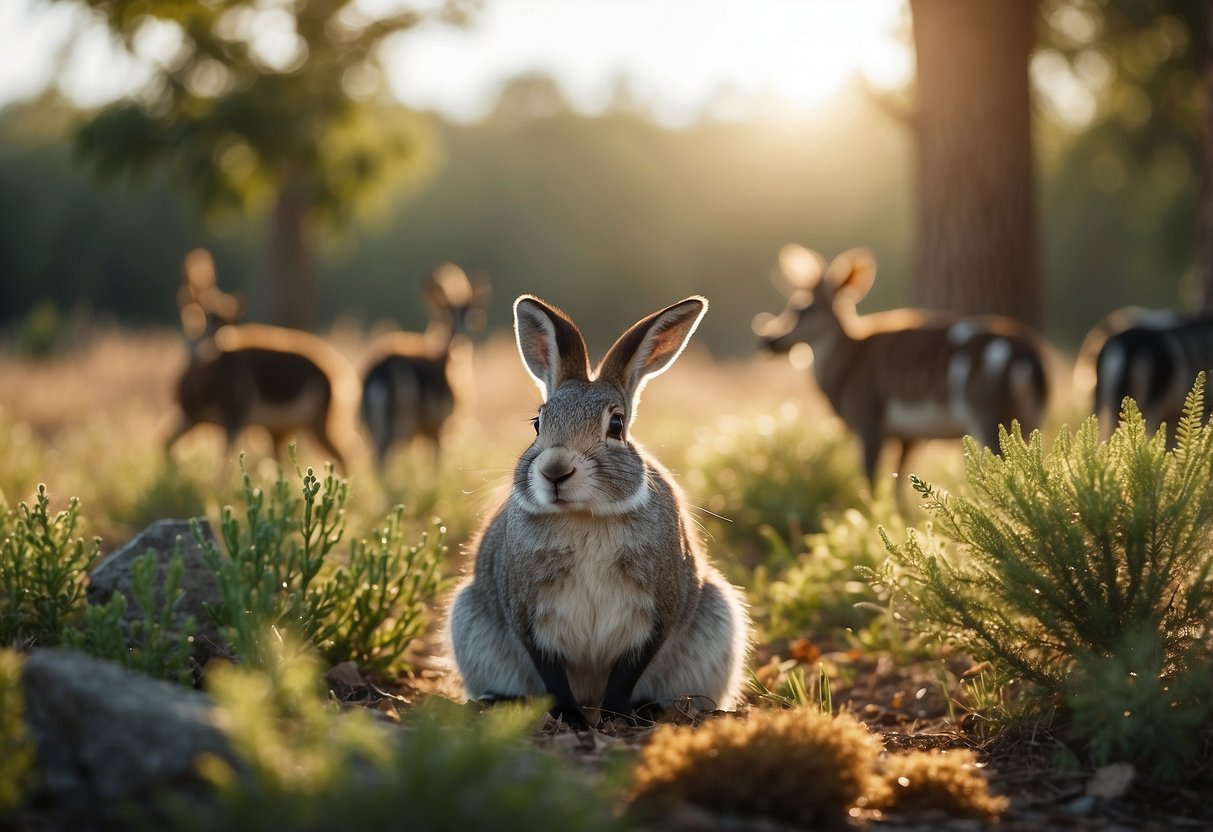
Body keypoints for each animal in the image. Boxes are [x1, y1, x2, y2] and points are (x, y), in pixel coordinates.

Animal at [168, 247, 361, 473]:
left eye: (223, 321)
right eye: (202, 317)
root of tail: (335, 375)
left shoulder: (232, 419)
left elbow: (223, 464)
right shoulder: (199, 417)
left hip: (315, 424)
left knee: (345, 453)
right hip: (280, 430)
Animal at [356, 269, 490, 475]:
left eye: (475, 318)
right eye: (444, 317)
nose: (460, 341)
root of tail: (379, 375)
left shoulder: (423, 433)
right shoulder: (439, 424)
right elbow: (437, 462)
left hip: (369, 425)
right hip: (401, 423)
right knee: (384, 458)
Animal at [446, 297, 747, 727]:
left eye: (616, 425)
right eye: (537, 423)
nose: (555, 471)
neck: (584, 514)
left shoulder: (657, 611)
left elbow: (628, 670)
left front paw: (615, 716)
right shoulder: (529, 616)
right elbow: (551, 672)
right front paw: (570, 717)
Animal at [756, 244, 1052, 509]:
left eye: (803, 308)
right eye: (790, 304)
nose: (768, 340)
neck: (846, 366)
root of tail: (1030, 360)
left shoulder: (867, 415)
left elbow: (871, 479)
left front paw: (874, 516)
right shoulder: (907, 434)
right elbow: (897, 483)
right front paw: (902, 518)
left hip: (986, 408)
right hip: (1031, 415)